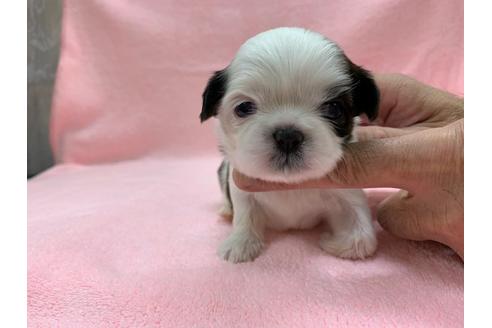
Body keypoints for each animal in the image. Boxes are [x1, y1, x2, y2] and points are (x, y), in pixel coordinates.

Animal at [200, 28, 380, 264]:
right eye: (244, 108)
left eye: (334, 109)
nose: (288, 136)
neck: (290, 184)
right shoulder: (240, 187)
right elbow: (245, 214)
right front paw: (240, 243)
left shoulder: (347, 192)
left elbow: (362, 240)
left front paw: (331, 242)